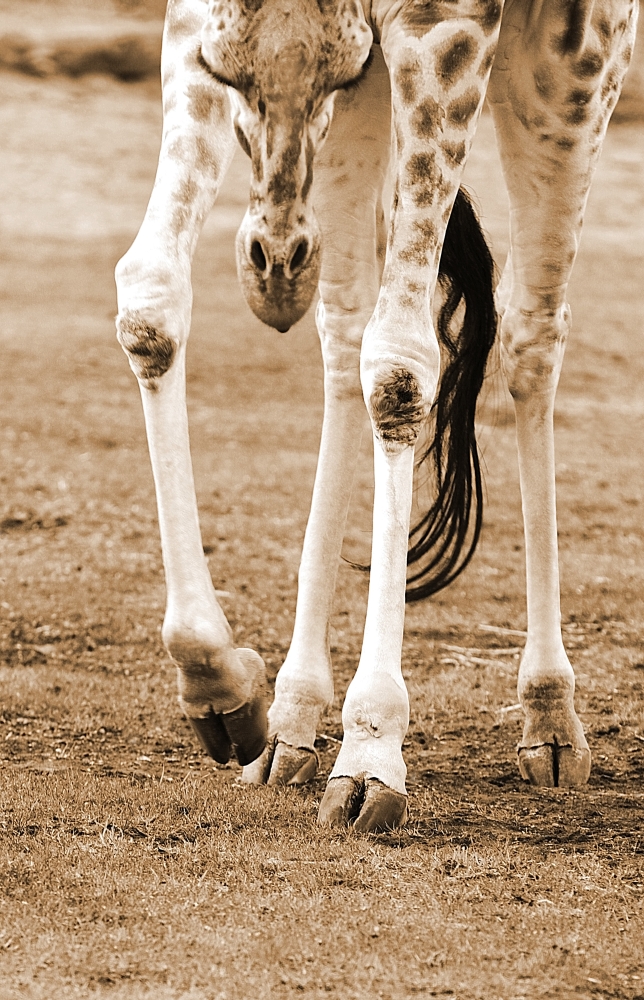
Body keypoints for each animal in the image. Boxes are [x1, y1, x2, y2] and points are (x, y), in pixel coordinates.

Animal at [115, 0, 638, 832]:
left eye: (336, 74)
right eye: (227, 75)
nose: (275, 269)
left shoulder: (441, 33)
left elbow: (399, 369)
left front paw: (369, 754)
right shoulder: (202, 29)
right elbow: (150, 303)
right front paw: (221, 683)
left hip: (576, 61)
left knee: (532, 333)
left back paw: (551, 721)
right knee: (344, 325)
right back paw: (290, 723)